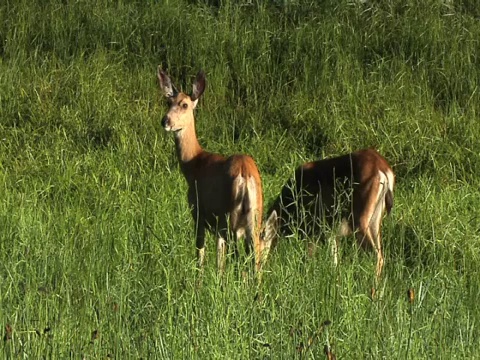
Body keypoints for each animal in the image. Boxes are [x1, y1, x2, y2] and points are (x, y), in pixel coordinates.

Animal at [158, 67, 278, 276]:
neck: (194, 163)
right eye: (168, 102)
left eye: (184, 105)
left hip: (229, 217)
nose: (165, 121)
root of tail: (245, 175)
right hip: (253, 217)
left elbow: (202, 255)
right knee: (252, 260)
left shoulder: (198, 212)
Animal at [266, 148, 394, 280]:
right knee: (380, 255)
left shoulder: (315, 228)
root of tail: (382, 169)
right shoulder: (330, 232)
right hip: (375, 219)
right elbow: (334, 262)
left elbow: (309, 259)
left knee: (375, 256)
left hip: (359, 219)